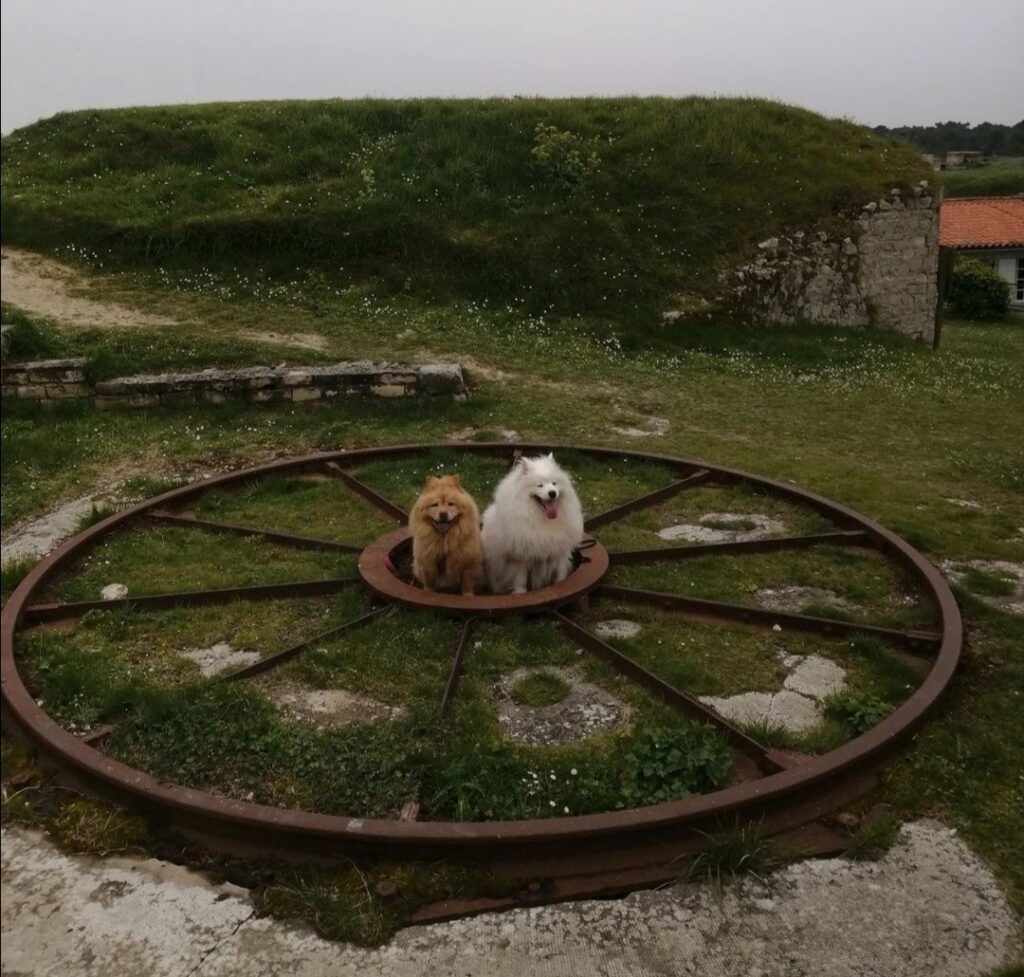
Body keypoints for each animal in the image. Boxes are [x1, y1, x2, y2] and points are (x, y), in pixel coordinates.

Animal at [481, 450, 585, 593]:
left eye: (554, 483)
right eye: (540, 485)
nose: (552, 493)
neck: (541, 518)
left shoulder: (559, 552)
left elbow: (560, 575)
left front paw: (560, 585)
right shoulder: (521, 557)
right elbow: (520, 580)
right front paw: (520, 593)